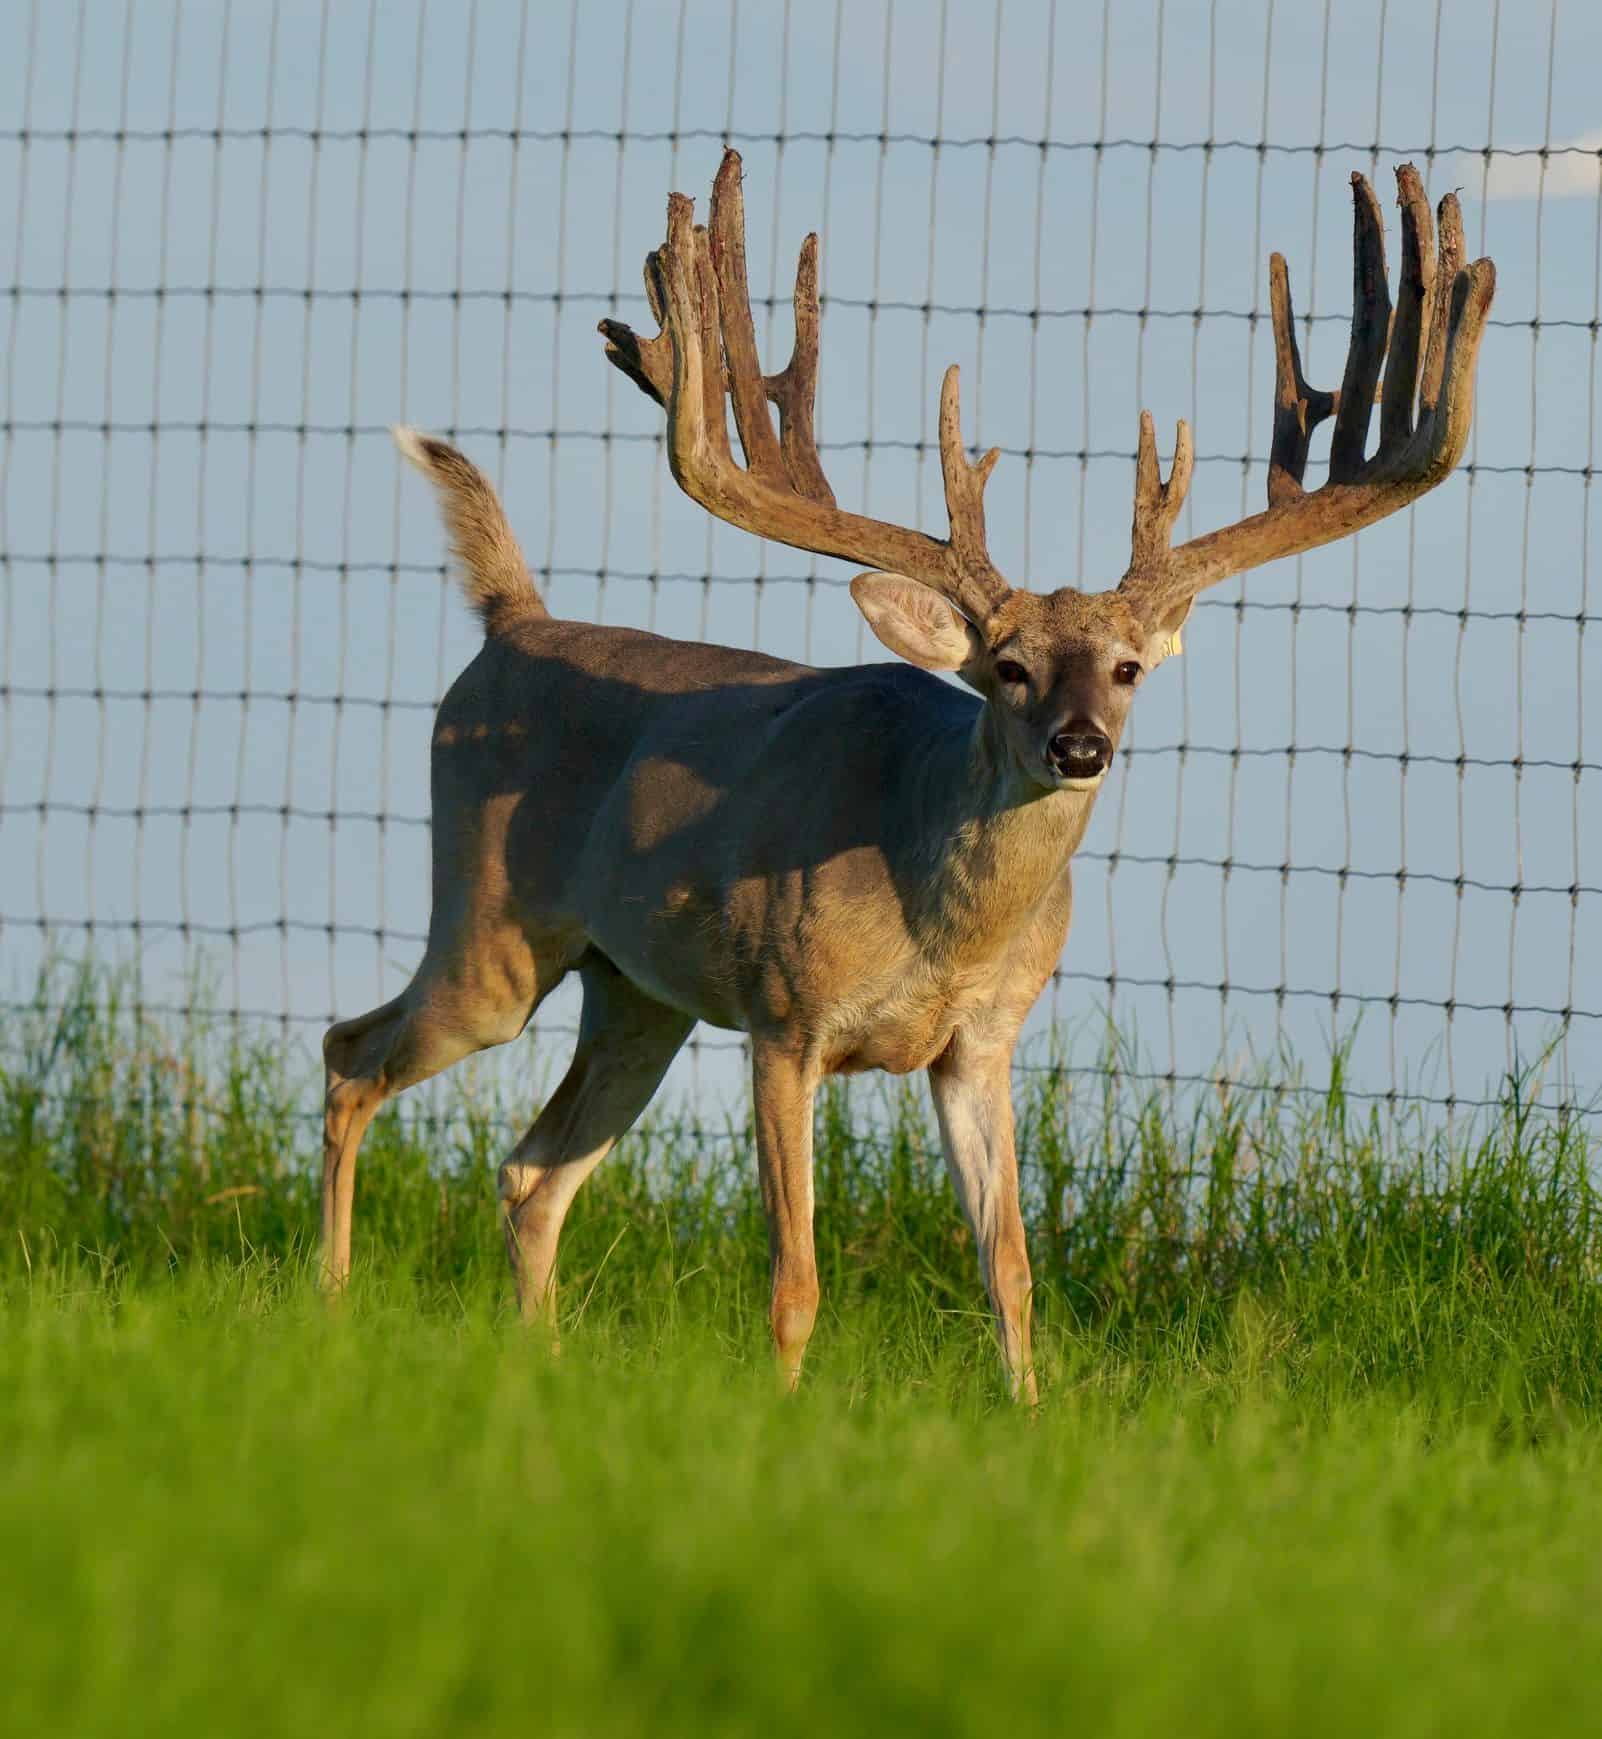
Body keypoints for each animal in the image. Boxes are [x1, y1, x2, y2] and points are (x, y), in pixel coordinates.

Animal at [319, 150, 1493, 1400]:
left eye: (1127, 666)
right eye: (1010, 667)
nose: (1081, 746)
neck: (938, 918)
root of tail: (512, 625)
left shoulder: (983, 1038)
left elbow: (1011, 1267)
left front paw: (1028, 1413)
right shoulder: (784, 1016)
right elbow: (795, 1278)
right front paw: (783, 1412)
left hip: (636, 991)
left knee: (531, 1171)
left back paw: (532, 1359)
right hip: (494, 933)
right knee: (354, 1058)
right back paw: (328, 1304)